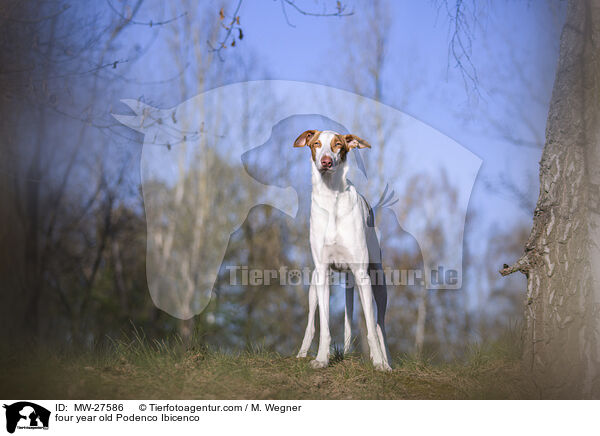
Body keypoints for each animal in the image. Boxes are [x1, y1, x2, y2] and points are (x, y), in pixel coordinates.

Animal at [292, 129, 392, 372]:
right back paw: (302, 353)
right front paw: (321, 359)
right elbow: (325, 327)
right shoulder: (322, 272)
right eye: (316, 144)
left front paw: (378, 362)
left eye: (338, 145)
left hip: (378, 282)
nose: (326, 162)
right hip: (314, 285)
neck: (332, 199)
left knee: (379, 325)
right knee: (311, 322)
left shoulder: (362, 276)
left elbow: (370, 329)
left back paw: (386, 361)